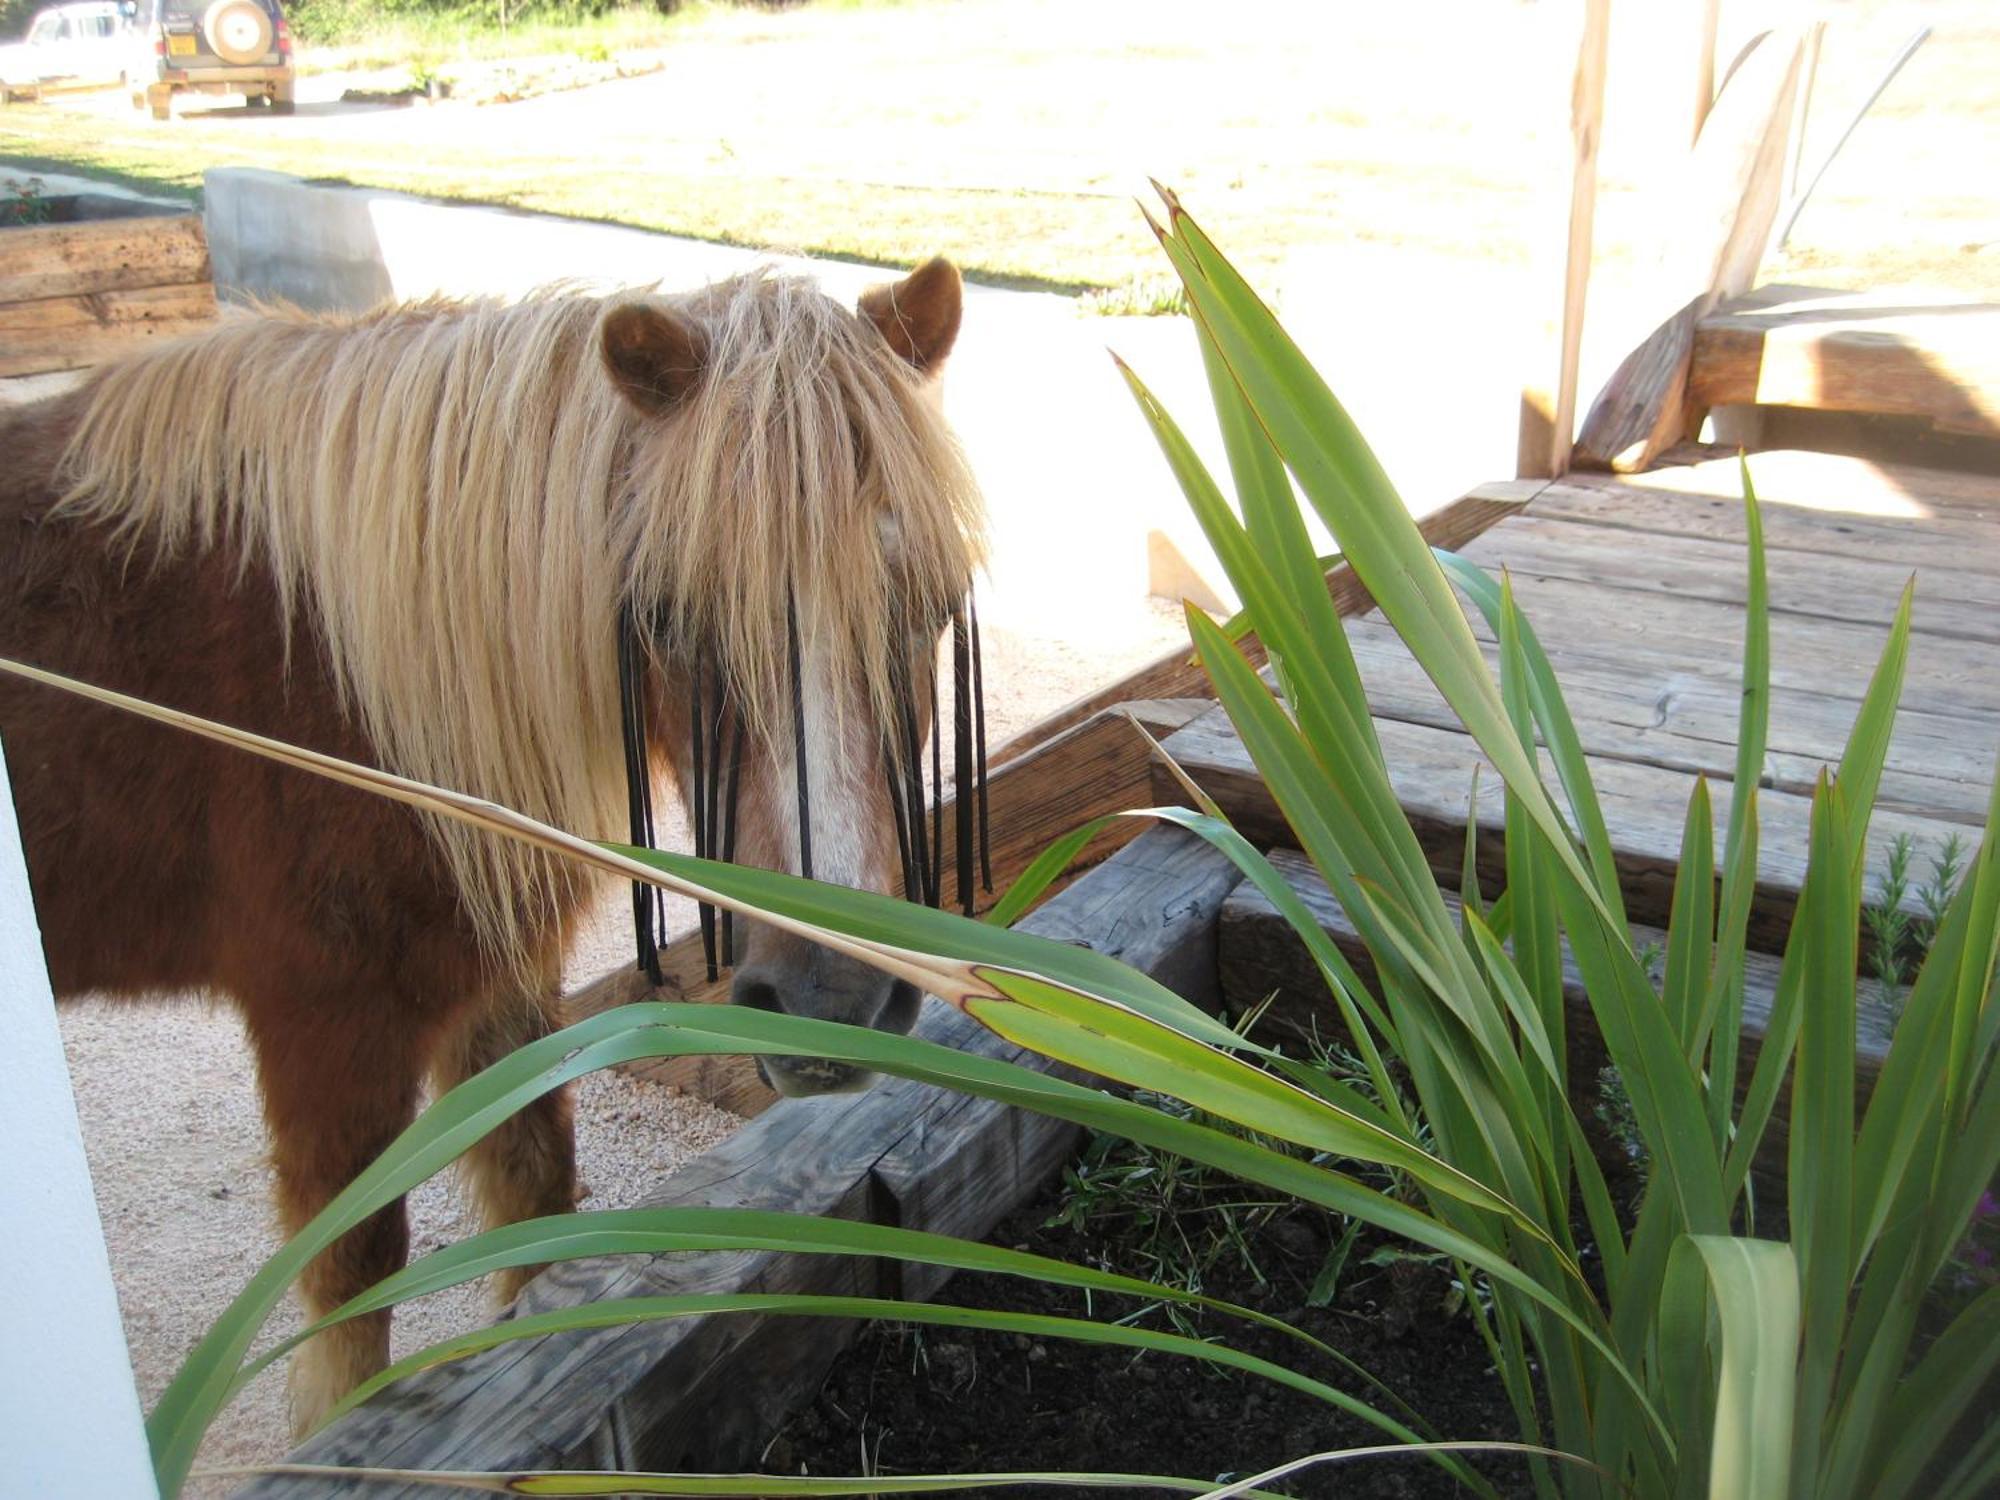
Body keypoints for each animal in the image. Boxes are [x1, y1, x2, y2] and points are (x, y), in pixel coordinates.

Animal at [0, 258, 984, 1432]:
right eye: (665, 617)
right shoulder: (324, 1021)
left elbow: (534, 1191)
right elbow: (352, 1291)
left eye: (930, 605)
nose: (830, 1001)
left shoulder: (497, 981)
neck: (344, 681)